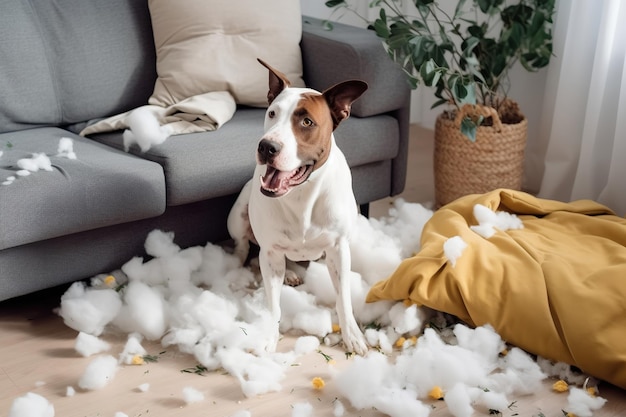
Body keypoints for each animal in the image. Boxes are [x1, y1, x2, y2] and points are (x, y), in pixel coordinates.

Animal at [227, 57, 368, 352]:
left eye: (306, 121)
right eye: (271, 113)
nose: (266, 147)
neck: (301, 194)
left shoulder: (339, 249)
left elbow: (343, 298)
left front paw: (352, 335)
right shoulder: (270, 251)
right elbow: (274, 304)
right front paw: (269, 337)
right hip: (239, 218)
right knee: (246, 248)